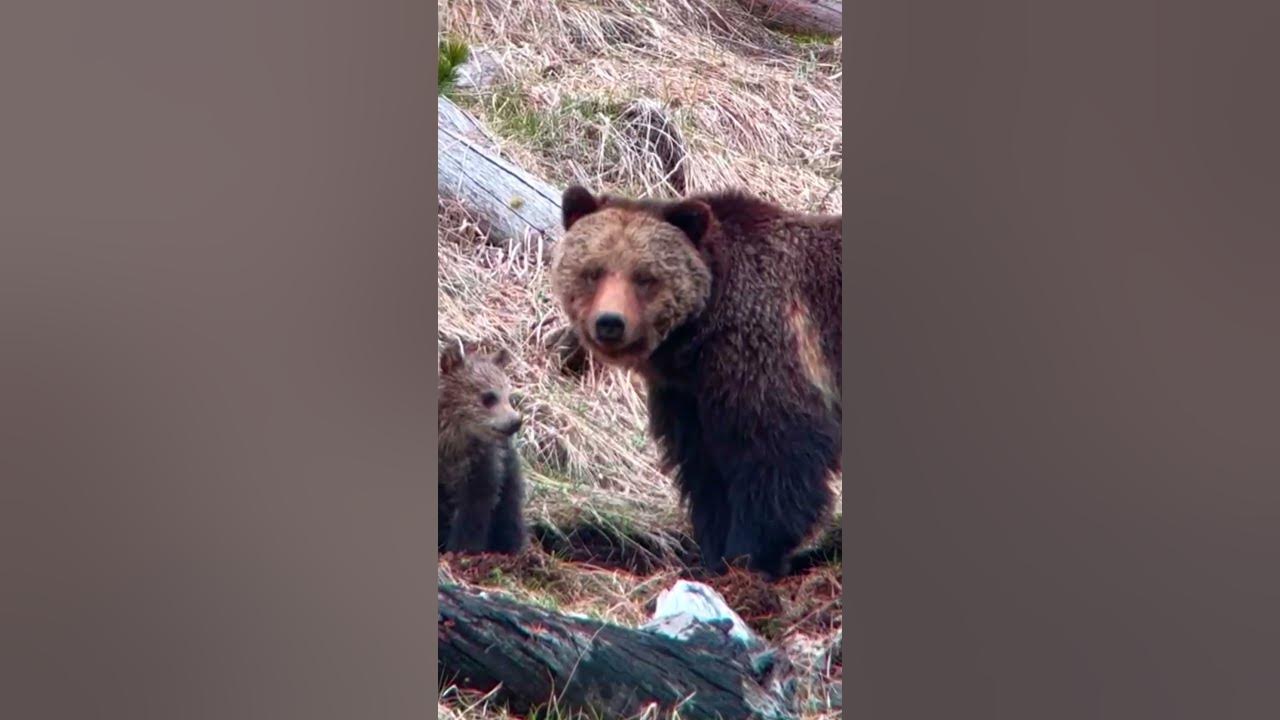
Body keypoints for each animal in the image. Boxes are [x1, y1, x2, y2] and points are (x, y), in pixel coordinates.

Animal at [437, 342, 528, 555]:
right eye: (489, 397)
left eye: (508, 396)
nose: (515, 421)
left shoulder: (483, 462)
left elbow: (476, 506)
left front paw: (463, 548)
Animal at [550, 185, 841, 579]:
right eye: (593, 271)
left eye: (644, 277)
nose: (610, 322)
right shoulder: (686, 396)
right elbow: (705, 471)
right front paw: (715, 552)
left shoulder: (765, 354)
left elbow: (777, 456)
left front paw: (748, 557)